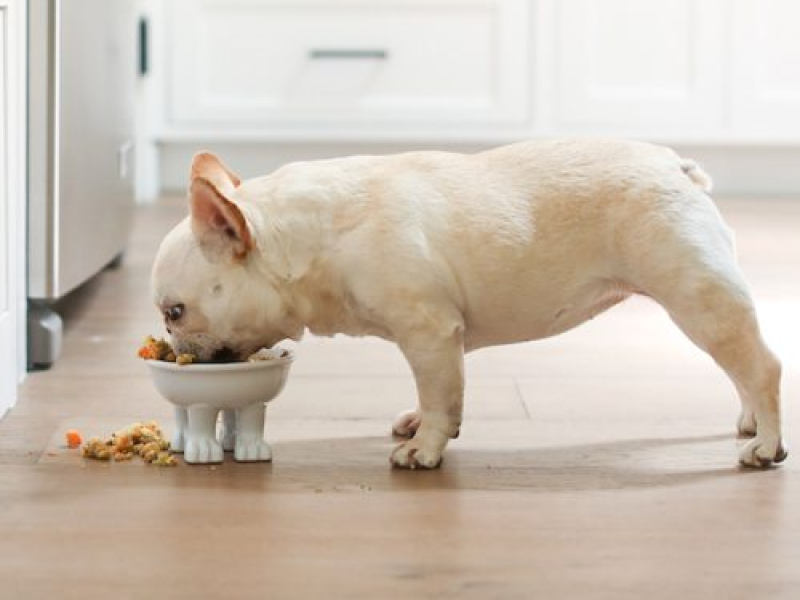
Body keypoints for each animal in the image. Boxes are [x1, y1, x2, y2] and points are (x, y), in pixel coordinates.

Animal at [152, 139, 788, 468]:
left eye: (174, 313)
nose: (174, 349)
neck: (309, 237)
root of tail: (674, 165)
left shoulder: (429, 332)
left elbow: (441, 395)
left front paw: (425, 447)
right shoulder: (433, 341)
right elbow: (433, 390)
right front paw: (418, 424)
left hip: (696, 294)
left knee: (761, 365)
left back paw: (767, 444)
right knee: (740, 366)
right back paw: (751, 421)